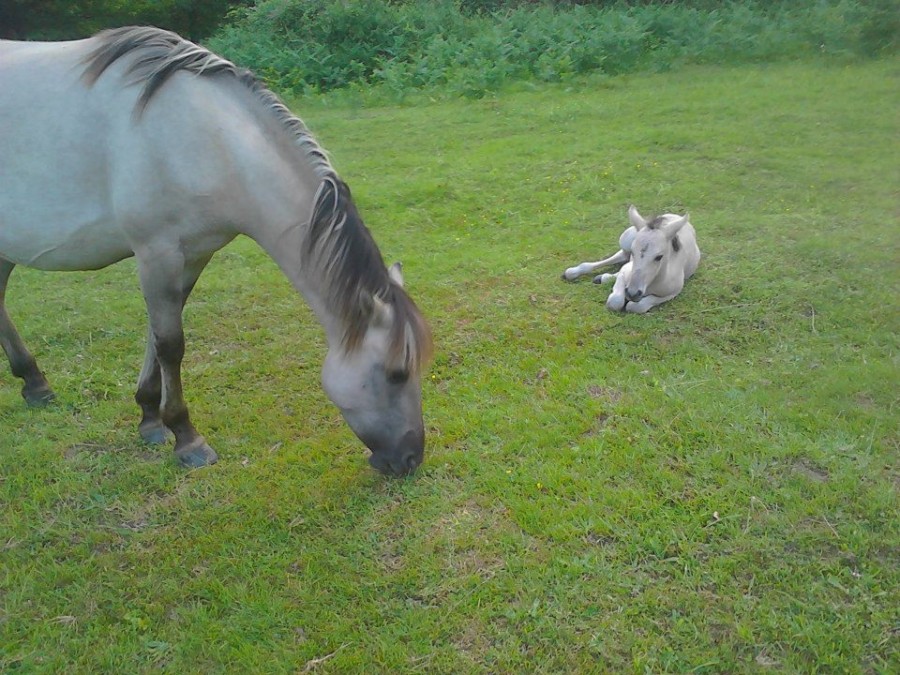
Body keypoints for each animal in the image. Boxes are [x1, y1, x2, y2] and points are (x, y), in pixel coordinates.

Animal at [0, 27, 432, 476]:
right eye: (397, 373)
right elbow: (170, 344)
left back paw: (35, 384)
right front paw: (186, 438)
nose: (410, 458)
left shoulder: (192, 256)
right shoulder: (157, 255)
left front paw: (149, 417)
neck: (208, 138)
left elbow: (157, 336)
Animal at [564, 206, 704, 314]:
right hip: (626, 240)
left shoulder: (672, 293)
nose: (632, 293)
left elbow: (635, 306)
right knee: (620, 256)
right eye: (634, 251)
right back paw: (573, 272)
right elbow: (615, 301)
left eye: (659, 257)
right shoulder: (626, 270)